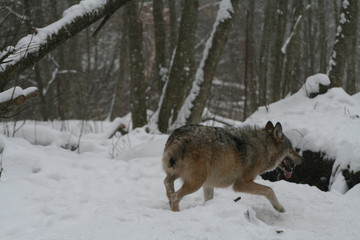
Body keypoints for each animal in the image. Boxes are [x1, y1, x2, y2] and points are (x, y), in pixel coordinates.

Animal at [162, 122, 300, 212]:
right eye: (292, 149)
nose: (301, 159)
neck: (264, 147)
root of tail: (179, 135)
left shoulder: (208, 184)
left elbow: (209, 200)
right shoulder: (241, 184)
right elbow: (269, 189)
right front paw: (279, 208)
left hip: (180, 175)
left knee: (167, 184)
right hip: (195, 183)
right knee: (175, 197)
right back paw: (176, 212)